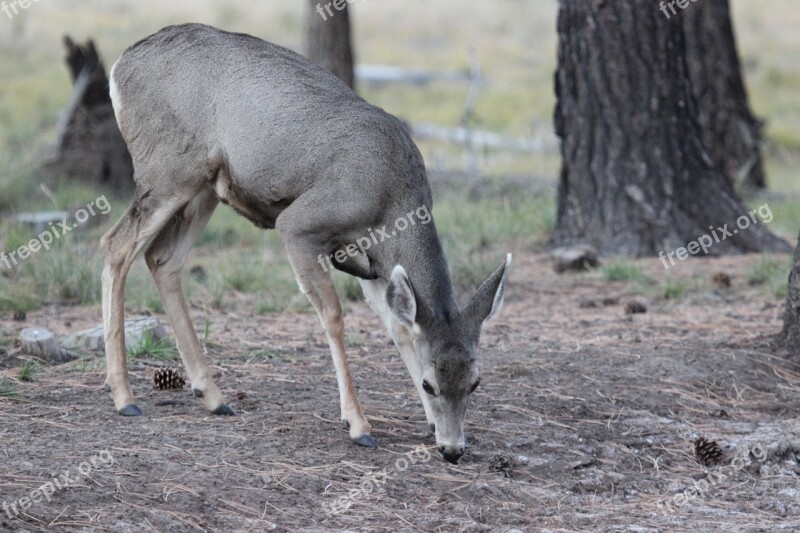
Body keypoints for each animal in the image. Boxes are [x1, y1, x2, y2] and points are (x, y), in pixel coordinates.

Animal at [103, 23, 510, 462]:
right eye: (429, 384)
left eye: (475, 382)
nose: (453, 450)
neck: (392, 199)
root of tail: (119, 66)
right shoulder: (300, 224)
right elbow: (333, 314)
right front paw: (358, 424)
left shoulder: (374, 265)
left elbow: (398, 328)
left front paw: (431, 425)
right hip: (166, 169)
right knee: (115, 245)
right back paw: (124, 397)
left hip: (204, 187)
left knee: (162, 258)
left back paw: (212, 395)